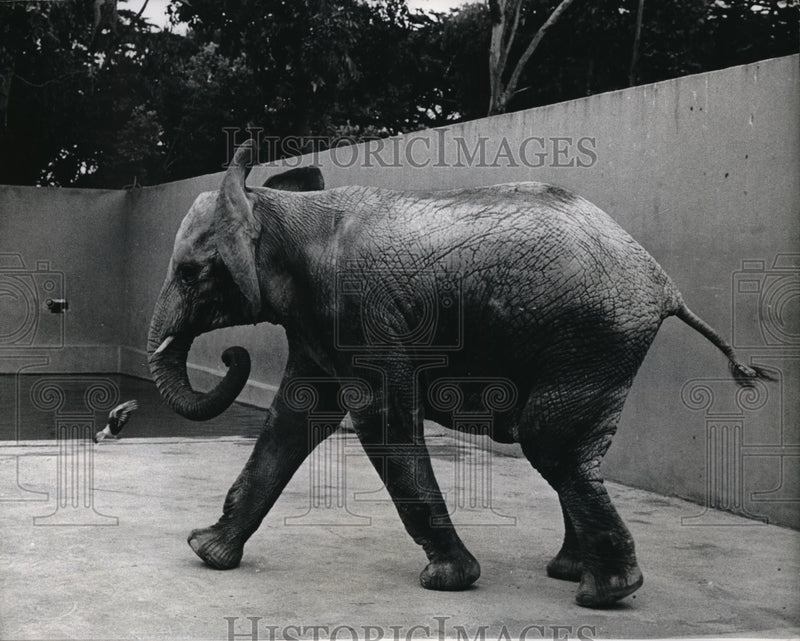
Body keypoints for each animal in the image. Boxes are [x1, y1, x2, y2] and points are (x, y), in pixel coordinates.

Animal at [147, 140, 771, 608]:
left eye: (191, 273)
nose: (232, 355)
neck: (277, 208)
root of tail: (664, 284)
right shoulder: (317, 320)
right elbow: (294, 418)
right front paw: (206, 553)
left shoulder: (358, 313)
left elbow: (380, 419)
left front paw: (449, 581)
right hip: (598, 344)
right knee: (571, 450)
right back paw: (574, 574)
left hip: (592, 337)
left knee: (551, 443)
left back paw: (605, 594)